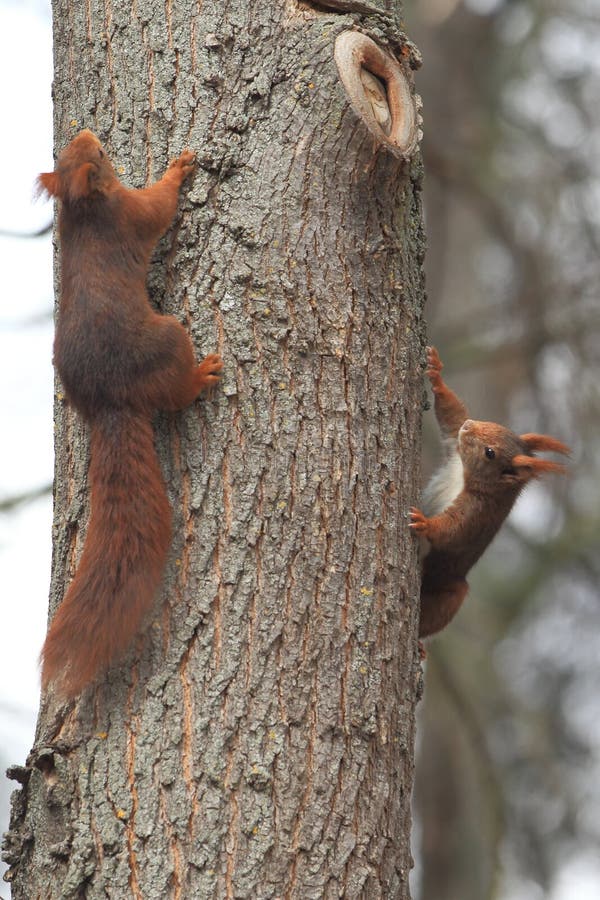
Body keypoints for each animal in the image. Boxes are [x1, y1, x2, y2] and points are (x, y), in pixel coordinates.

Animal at [37, 129, 223, 698]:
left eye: (76, 150)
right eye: (97, 156)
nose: (89, 132)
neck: (83, 209)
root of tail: (109, 402)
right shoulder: (130, 212)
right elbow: (159, 206)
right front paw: (180, 167)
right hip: (166, 340)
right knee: (178, 389)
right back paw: (202, 374)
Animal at [410, 346, 569, 640]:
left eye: (490, 452)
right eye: (498, 426)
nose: (469, 425)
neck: (465, 475)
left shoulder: (479, 510)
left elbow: (454, 530)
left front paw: (425, 522)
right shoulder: (455, 446)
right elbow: (451, 417)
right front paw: (436, 374)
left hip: (449, 589)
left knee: (431, 619)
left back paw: (419, 642)